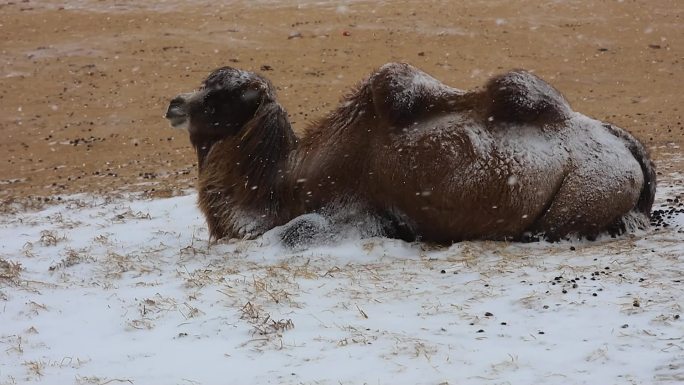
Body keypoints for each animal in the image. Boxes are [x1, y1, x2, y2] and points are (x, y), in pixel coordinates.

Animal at [166, 62, 656, 244]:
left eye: (220, 99)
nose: (174, 104)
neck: (286, 180)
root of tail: (626, 145)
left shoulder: (355, 213)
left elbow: (294, 232)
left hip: (580, 194)